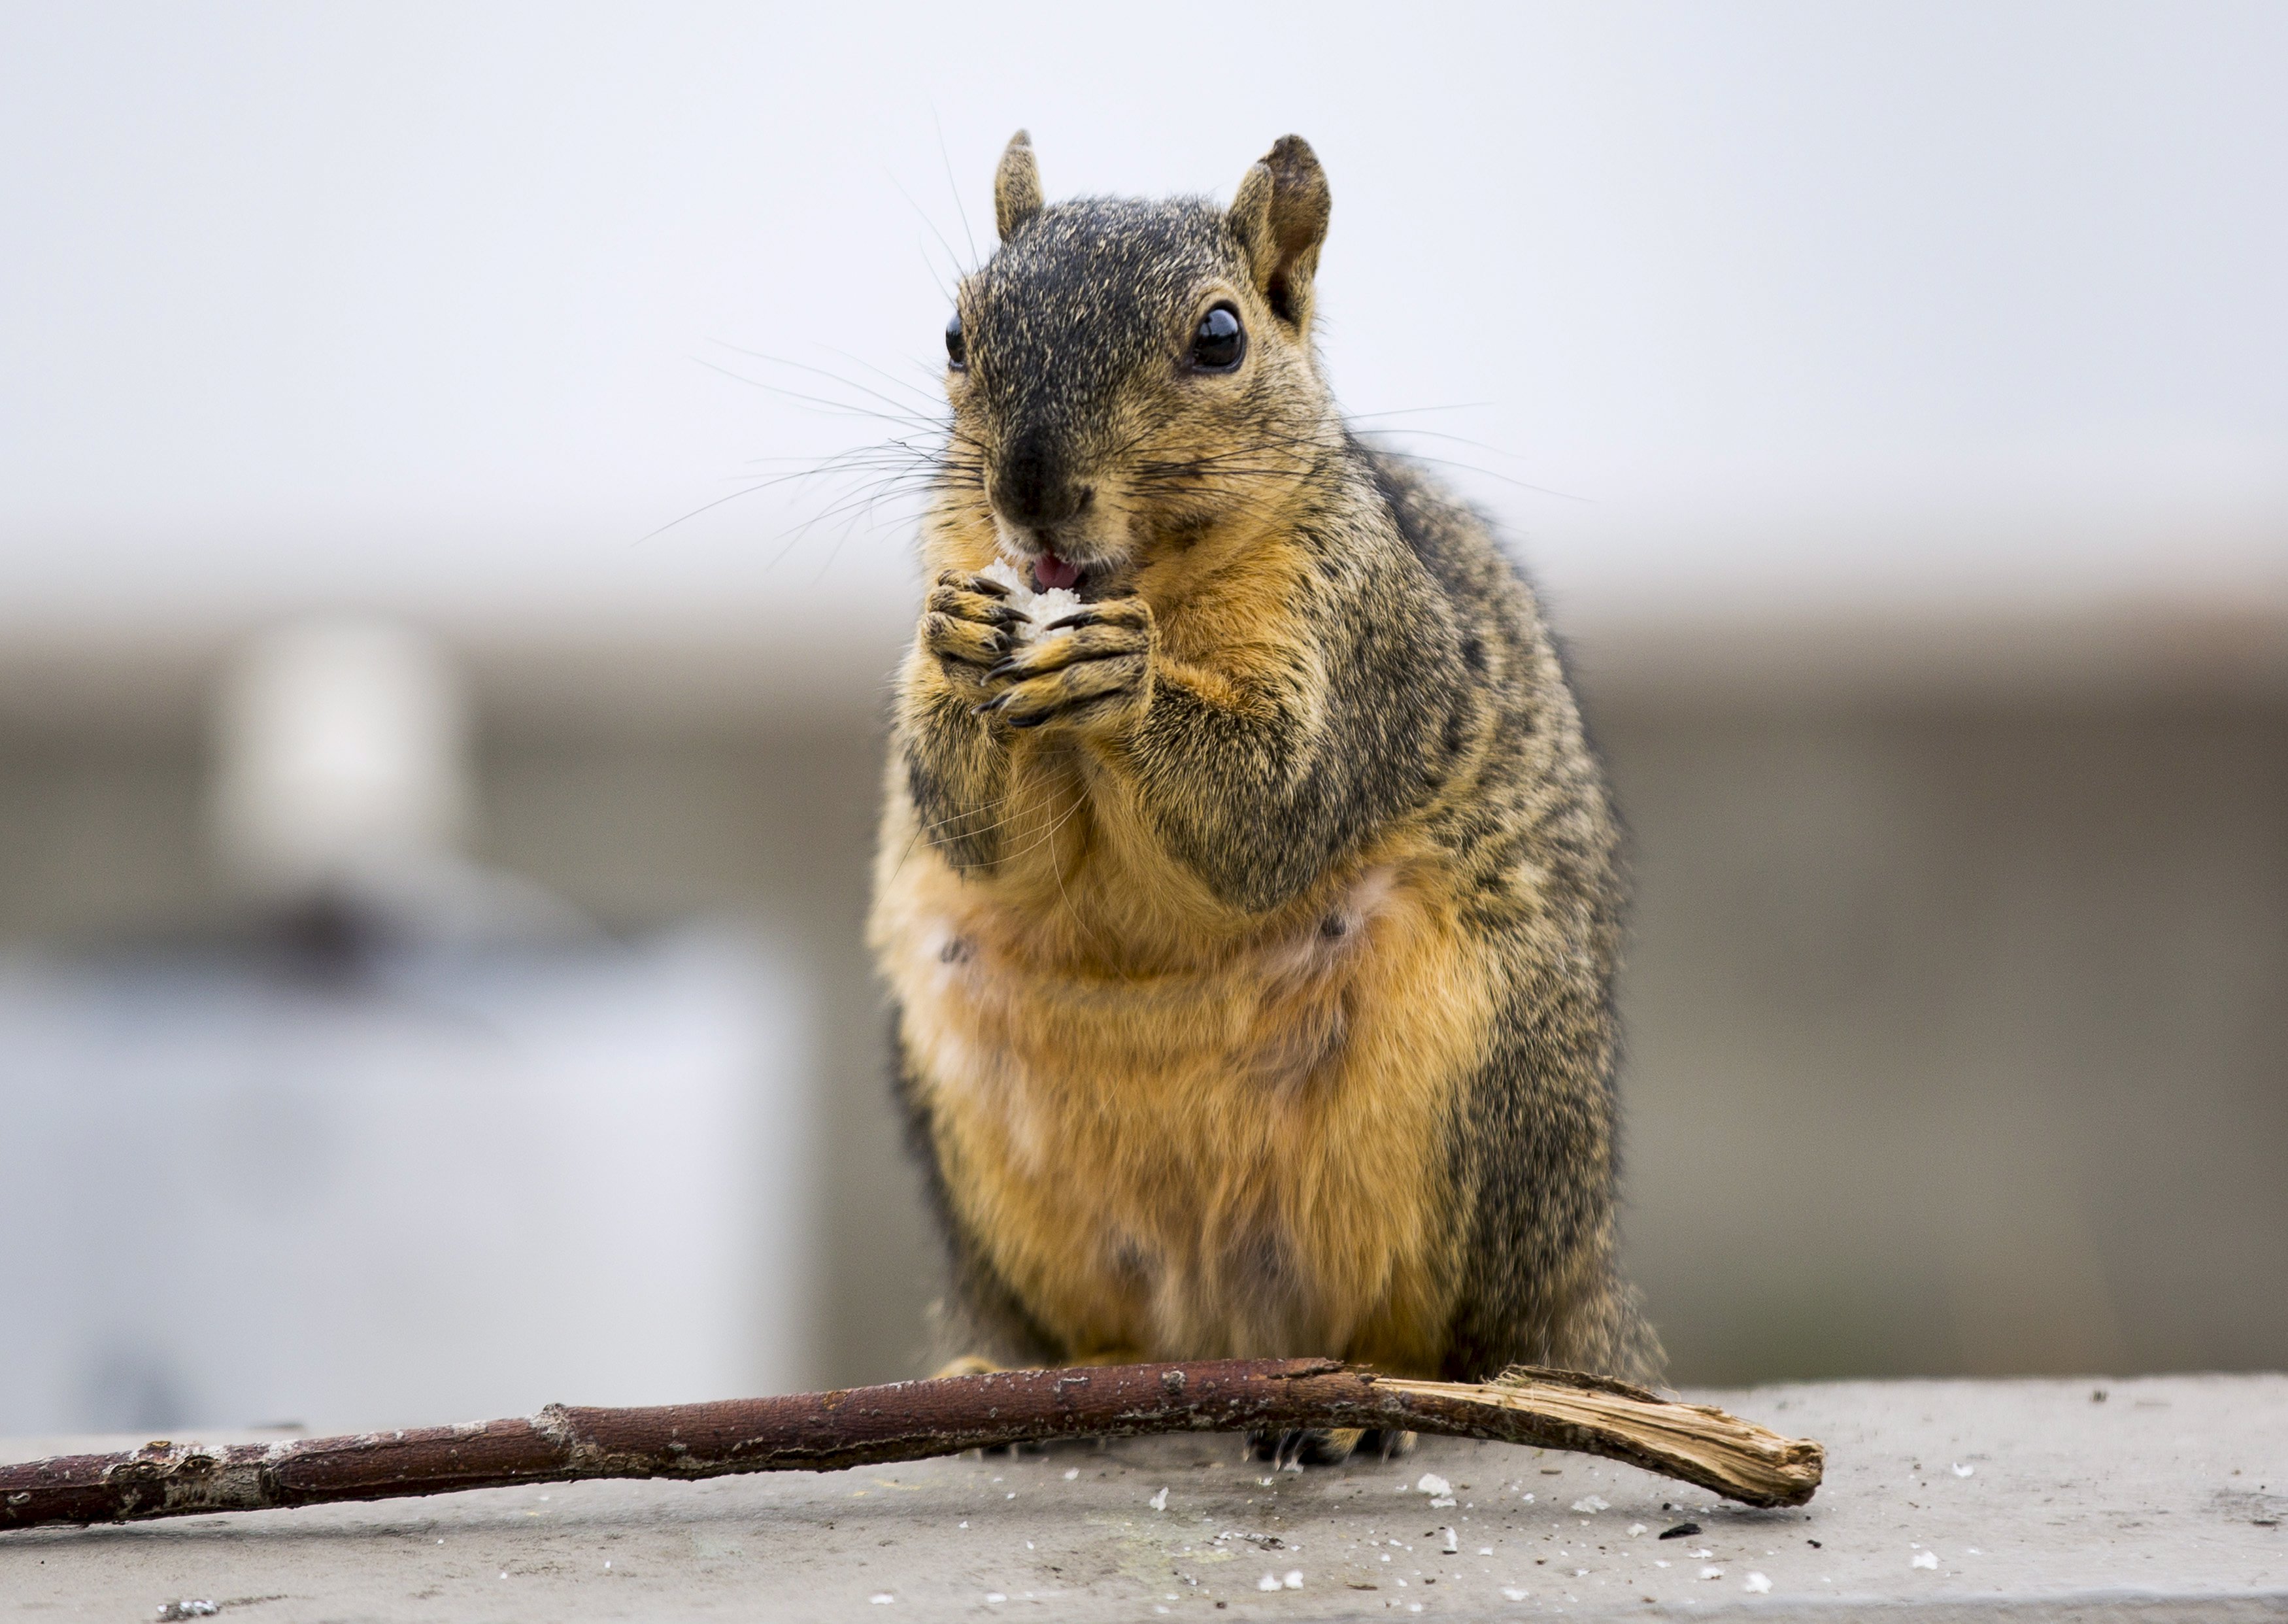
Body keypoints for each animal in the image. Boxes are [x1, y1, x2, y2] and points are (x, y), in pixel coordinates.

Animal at [869, 133, 1666, 1464]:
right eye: (955, 333)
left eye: (1220, 337)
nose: (1030, 488)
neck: (1143, 579)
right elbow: (973, 827)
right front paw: (963, 646)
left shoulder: (1362, 630)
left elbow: (1273, 808)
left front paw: (1126, 681)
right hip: (986, 1160)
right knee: (1104, 1333)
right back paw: (1023, 1384)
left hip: (1469, 1096)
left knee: (1454, 1343)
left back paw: (1357, 1408)